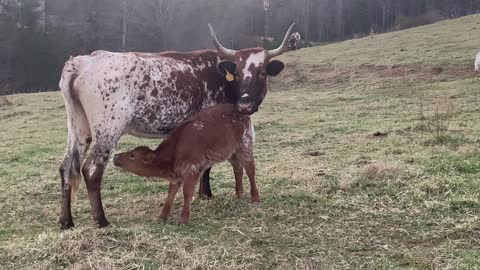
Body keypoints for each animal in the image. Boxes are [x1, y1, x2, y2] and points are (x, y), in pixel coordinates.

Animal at [111, 104, 258, 225]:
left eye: (132, 156)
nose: (115, 156)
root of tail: (240, 111)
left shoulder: (192, 169)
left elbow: (187, 193)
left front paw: (183, 219)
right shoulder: (177, 174)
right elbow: (171, 193)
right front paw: (163, 215)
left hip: (245, 144)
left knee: (250, 168)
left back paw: (255, 197)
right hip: (231, 152)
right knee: (237, 168)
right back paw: (239, 193)